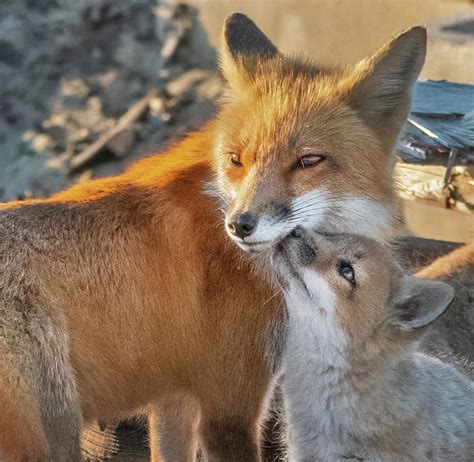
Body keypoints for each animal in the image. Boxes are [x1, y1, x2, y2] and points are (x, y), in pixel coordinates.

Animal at [0, 13, 426, 462]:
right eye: (237, 159)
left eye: (309, 160)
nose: (240, 224)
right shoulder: (229, 410)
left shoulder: (175, 399)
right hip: (53, 436)